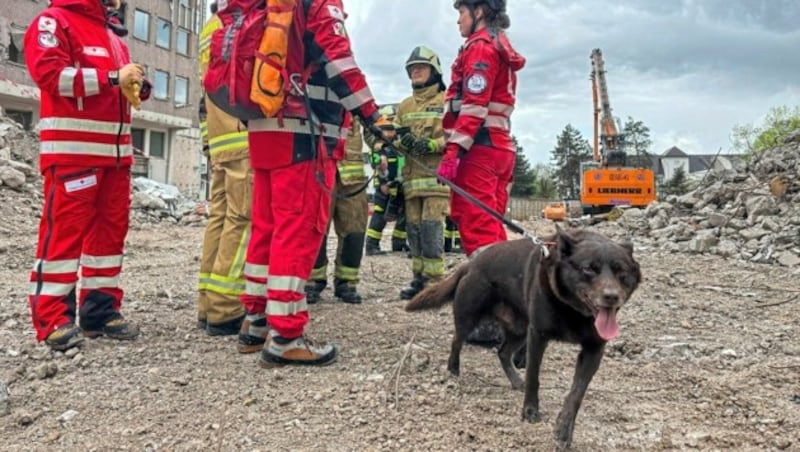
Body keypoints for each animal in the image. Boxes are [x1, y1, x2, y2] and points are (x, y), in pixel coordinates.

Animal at [404, 228, 640, 450]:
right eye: (589, 268)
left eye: (621, 271)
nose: (611, 296)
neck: (573, 310)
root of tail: (471, 264)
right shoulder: (537, 335)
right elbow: (534, 377)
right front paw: (530, 411)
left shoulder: (594, 348)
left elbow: (576, 393)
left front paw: (564, 430)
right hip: (470, 317)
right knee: (456, 341)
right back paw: (453, 370)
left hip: (518, 329)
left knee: (502, 352)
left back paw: (516, 381)